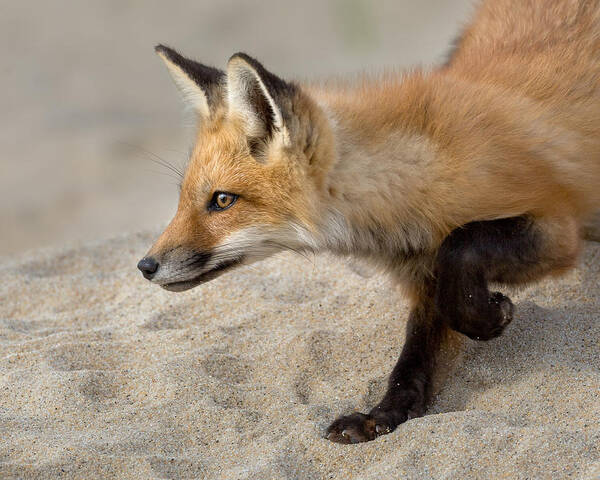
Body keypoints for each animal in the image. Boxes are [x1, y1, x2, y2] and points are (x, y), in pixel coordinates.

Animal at [138, 0, 600, 446]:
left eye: (222, 200)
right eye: (184, 198)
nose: (145, 266)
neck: (416, 174)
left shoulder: (555, 226)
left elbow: (462, 245)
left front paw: (489, 319)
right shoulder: (423, 273)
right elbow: (414, 357)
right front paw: (383, 416)